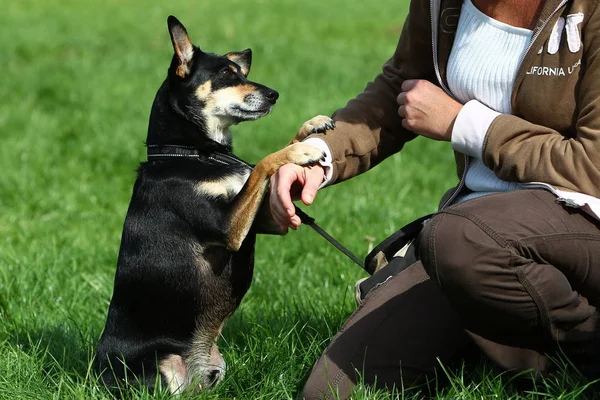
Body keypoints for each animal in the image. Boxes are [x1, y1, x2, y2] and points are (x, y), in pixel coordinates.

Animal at [97, 16, 332, 394]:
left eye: (240, 71)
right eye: (224, 74)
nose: (274, 94)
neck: (193, 153)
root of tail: (96, 376)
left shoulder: (264, 221)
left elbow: (259, 171)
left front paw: (310, 127)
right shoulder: (229, 229)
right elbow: (262, 163)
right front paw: (301, 150)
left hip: (216, 367)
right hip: (160, 368)